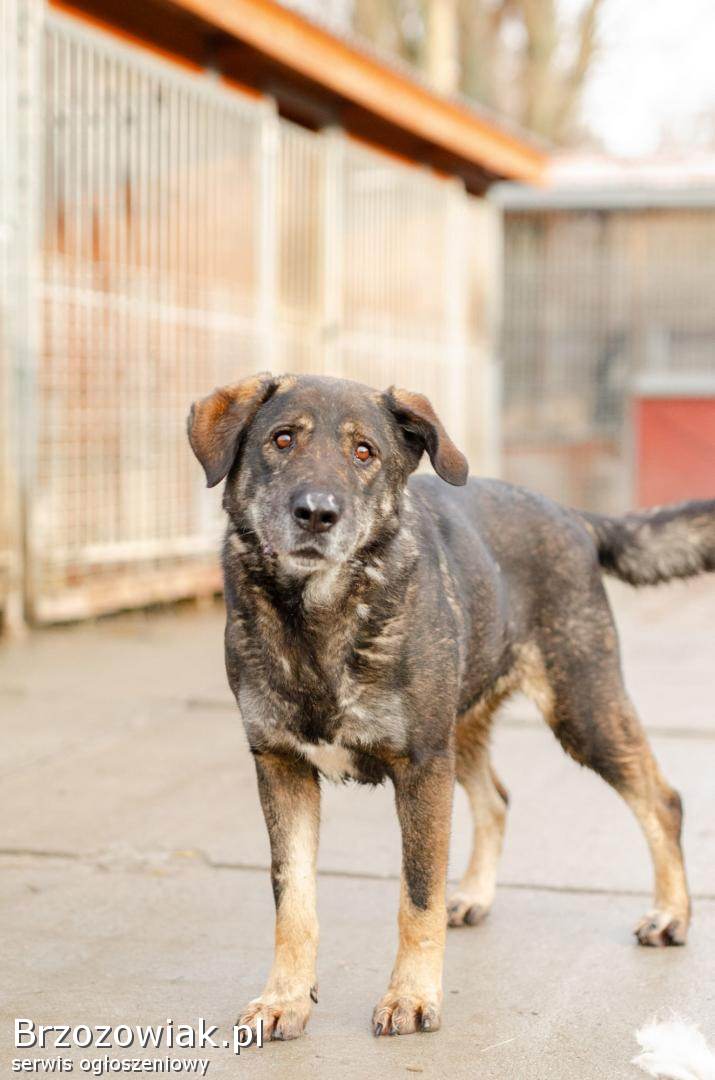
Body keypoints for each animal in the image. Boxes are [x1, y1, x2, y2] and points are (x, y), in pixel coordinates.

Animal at [187, 372, 715, 1040]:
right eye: (282, 439)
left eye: (365, 452)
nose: (316, 513)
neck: (319, 619)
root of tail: (572, 515)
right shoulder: (282, 767)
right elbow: (294, 898)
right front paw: (285, 998)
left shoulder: (420, 767)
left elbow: (417, 896)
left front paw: (412, 997)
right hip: (463, 729)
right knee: (497, 799)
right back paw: (476, 896)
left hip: (581, 707)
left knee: (662, 800)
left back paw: (672, 914)